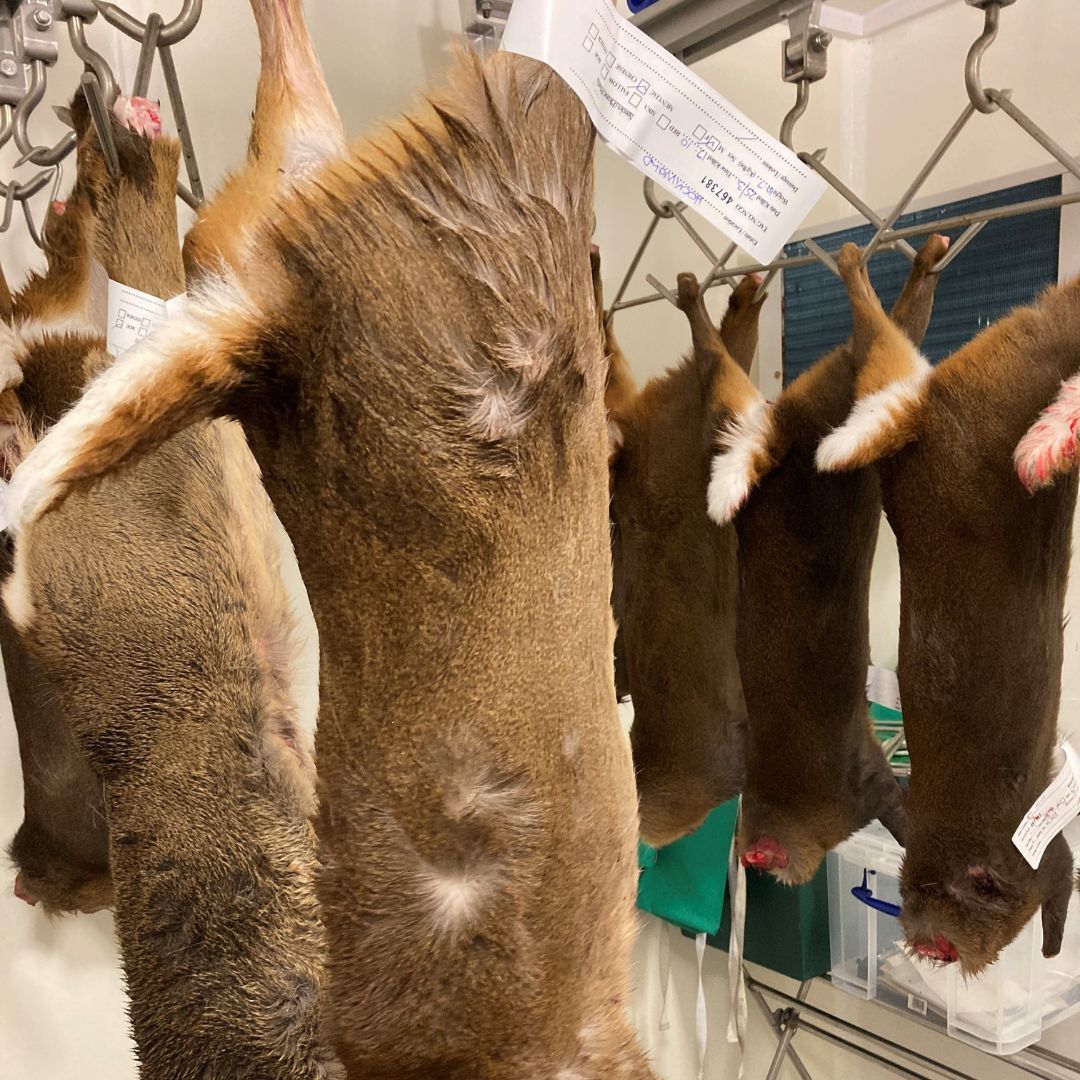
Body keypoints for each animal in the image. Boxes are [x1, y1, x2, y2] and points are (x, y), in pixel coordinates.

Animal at [702, 235, 949, 885]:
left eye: (758, 858)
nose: (754, 862)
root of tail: (783, 439)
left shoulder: (861, 785)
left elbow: (900, 815)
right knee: (889, 333)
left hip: (826, 405)